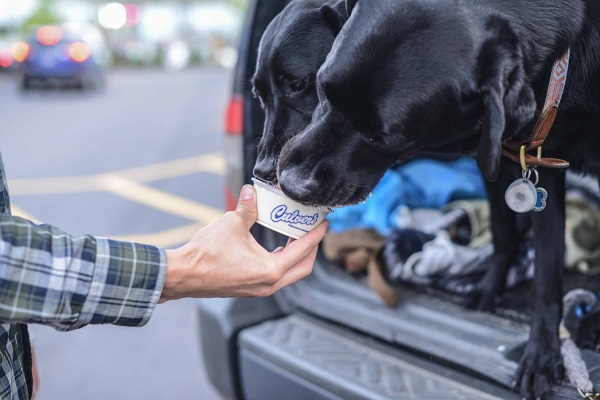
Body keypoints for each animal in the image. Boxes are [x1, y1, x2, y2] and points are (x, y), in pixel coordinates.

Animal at [276, 1, 600, 398]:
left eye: (383, 136)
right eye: (321, 87)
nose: (290, 185)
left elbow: (543, 271)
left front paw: (542, 355)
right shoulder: (525, 163)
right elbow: (527, 254)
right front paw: (493, 289)